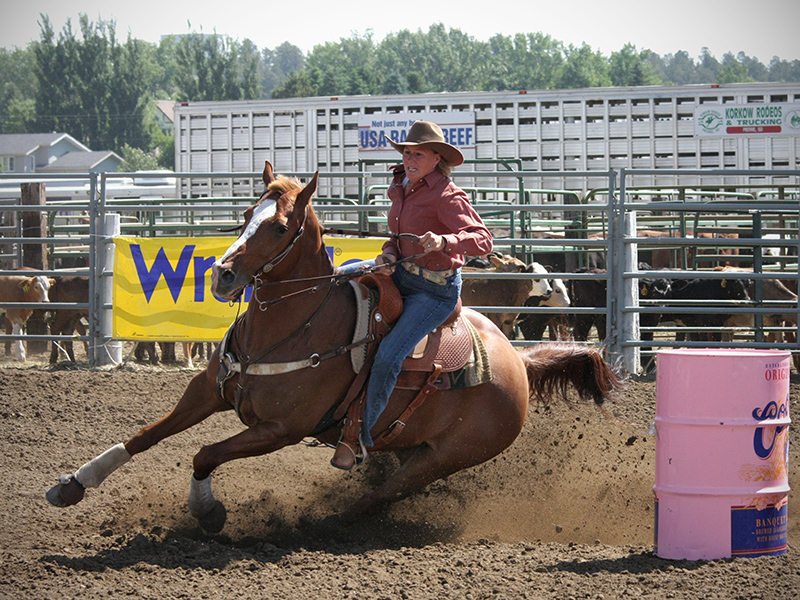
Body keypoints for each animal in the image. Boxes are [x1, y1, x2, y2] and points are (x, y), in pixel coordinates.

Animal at [48, 162, 624, 532]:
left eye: (280, 225)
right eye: (246, 216)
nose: (223, 275)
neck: (292, 327)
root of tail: (517, 362)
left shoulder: (279, 429)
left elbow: (204, 452)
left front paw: (208, 512)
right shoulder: (207, 391)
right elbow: (147, 435)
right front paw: (74, 483)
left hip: (445, 457)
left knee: (381, 496)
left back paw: (314, 524)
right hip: (410, 443)